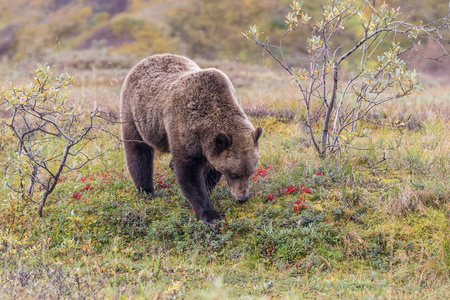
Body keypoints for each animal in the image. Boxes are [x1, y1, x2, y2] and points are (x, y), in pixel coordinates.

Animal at [121, 54, 262, 224]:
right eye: (235, 173)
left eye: (250, 172)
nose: (243, 198)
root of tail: (146, 59)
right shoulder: (184, 128)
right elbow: (189, 172)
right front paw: (210, 215)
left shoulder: (209, 146)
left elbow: (210, 171)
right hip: (135, 114)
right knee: (138, 152)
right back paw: (146, 191)